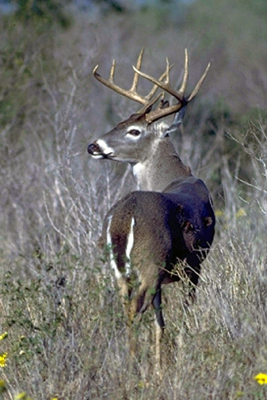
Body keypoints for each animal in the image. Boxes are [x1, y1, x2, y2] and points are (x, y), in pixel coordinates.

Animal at [88, 48, 216, 376]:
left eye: (132, 129)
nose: (93, 145)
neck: (177, 176)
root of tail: (123, 220)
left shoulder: (172, 273)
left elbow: (161, 322)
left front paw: (160, 366)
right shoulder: (193, 266)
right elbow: (184, 314)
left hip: (121, 268)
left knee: (126, 306)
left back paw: (130, 362)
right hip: (150, 261)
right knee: (136, 307)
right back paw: (133, 367)